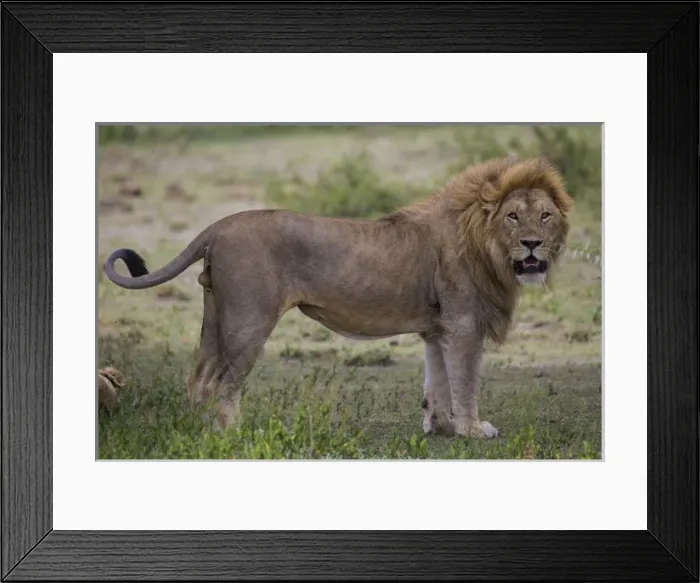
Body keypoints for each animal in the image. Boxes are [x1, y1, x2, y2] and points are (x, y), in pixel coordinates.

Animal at [104, 156, 574, 438]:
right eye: (512, 216)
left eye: (544, 215)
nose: (532, 245)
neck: (486, 244)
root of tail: (217, 226)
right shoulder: (462, 325)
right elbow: (465, 381)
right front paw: (473, 430)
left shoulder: (438, 327)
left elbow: (437, 381)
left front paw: (440, 427)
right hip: (248, 320)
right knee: (225, 383)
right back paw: (233, 434)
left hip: (216, 316)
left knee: (199, 378)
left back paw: (197, 431)